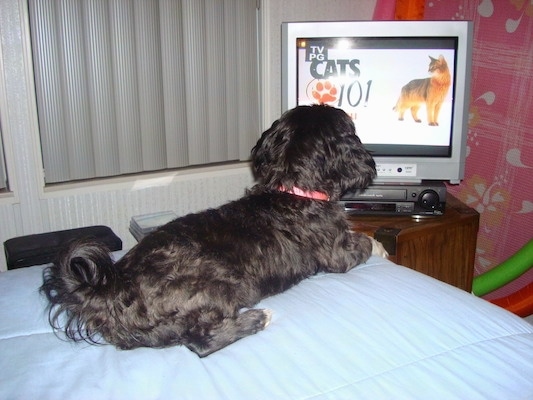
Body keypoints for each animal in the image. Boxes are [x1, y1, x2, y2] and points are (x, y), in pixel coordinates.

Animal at [39, 104, 384, 356]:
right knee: (201, 342)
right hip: (216, 283)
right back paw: (255, 319)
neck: (294, 190)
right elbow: (364, 242)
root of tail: (110, 289)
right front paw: (378, 245)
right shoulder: (337, 254)